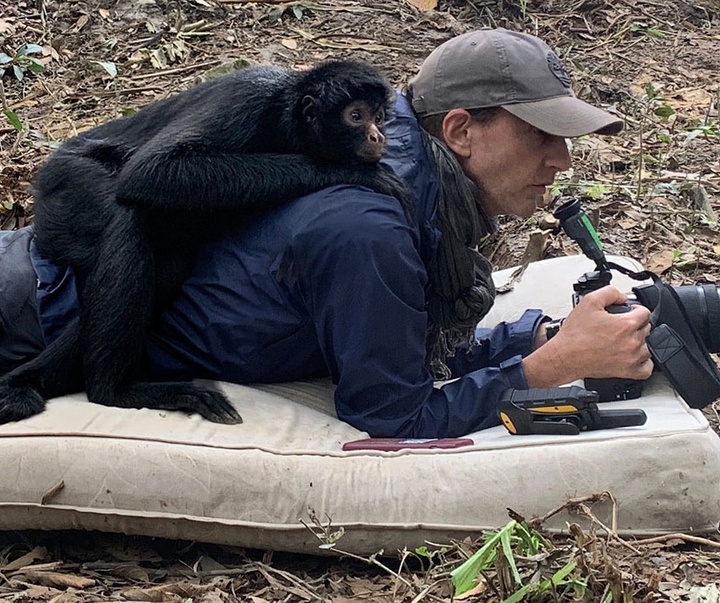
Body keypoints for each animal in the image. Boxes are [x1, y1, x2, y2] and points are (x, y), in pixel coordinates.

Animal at [0, 60, 408, 424]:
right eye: (356, 116)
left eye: (379, 117)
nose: (378, 136)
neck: (285, 120)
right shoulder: (248, 99)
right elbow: (151, 172)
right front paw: (352, 172)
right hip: (71, 190)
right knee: (137, 216)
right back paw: (113, 391)